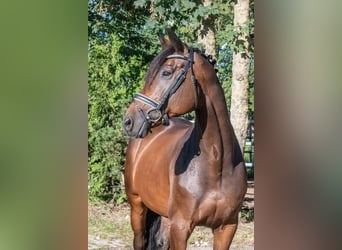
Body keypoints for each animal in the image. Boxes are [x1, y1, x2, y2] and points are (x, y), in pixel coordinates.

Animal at [123, 29, 246, 250]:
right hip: (137, 205)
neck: (218, 163)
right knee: (139, 240)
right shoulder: (181, 226)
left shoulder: (227, 227)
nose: (129, 121)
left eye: (166, 73)